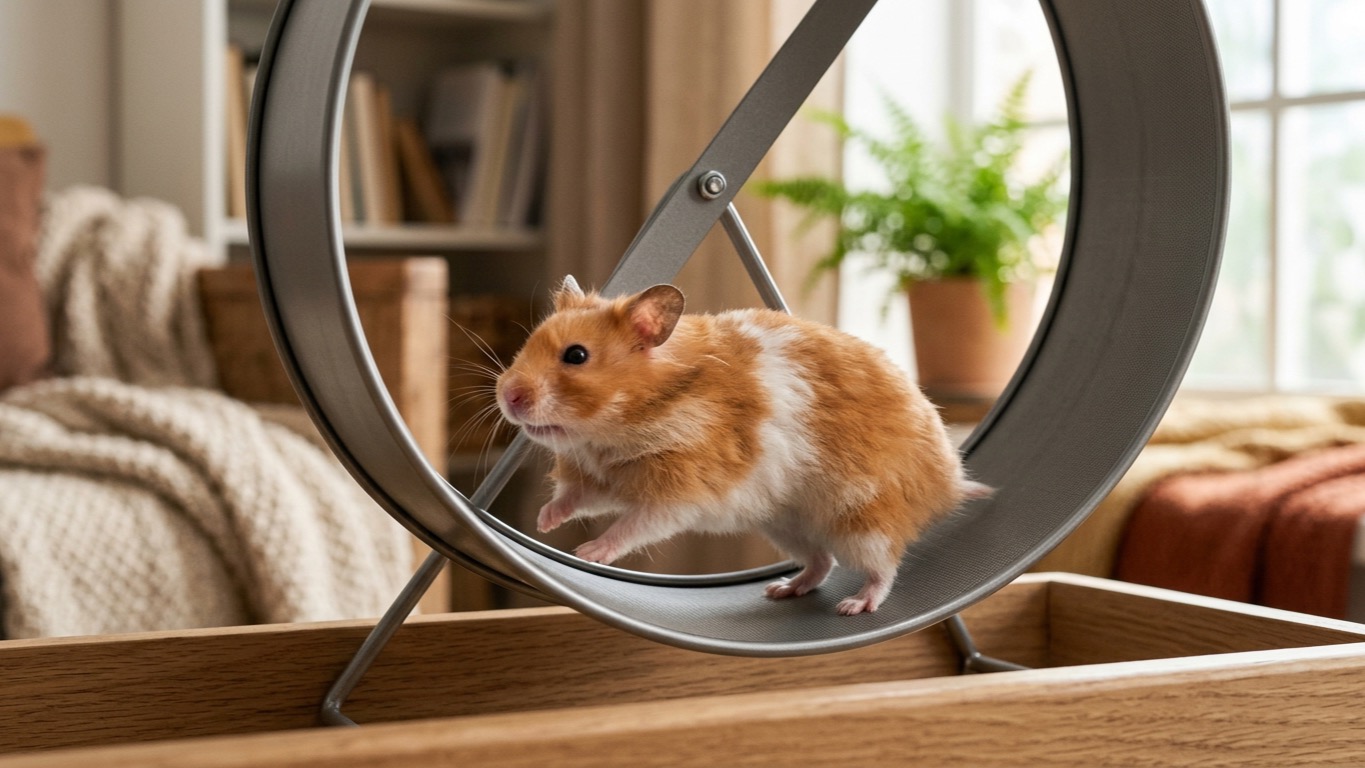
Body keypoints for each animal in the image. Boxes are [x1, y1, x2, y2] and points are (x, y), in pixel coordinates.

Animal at [495, 275, 989, 615]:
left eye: (576, 355)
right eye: (529, 342)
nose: (507, 396)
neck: (613, 430)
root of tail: (948, 485)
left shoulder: (679, 492)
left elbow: (634, 526)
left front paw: (586, 553)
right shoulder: (601, 478)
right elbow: (575, 497)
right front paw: (543, 523)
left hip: (865, 522)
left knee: (884, 568)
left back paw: (854, 606)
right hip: (787, 527)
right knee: (822, 562)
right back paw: (781, 590)